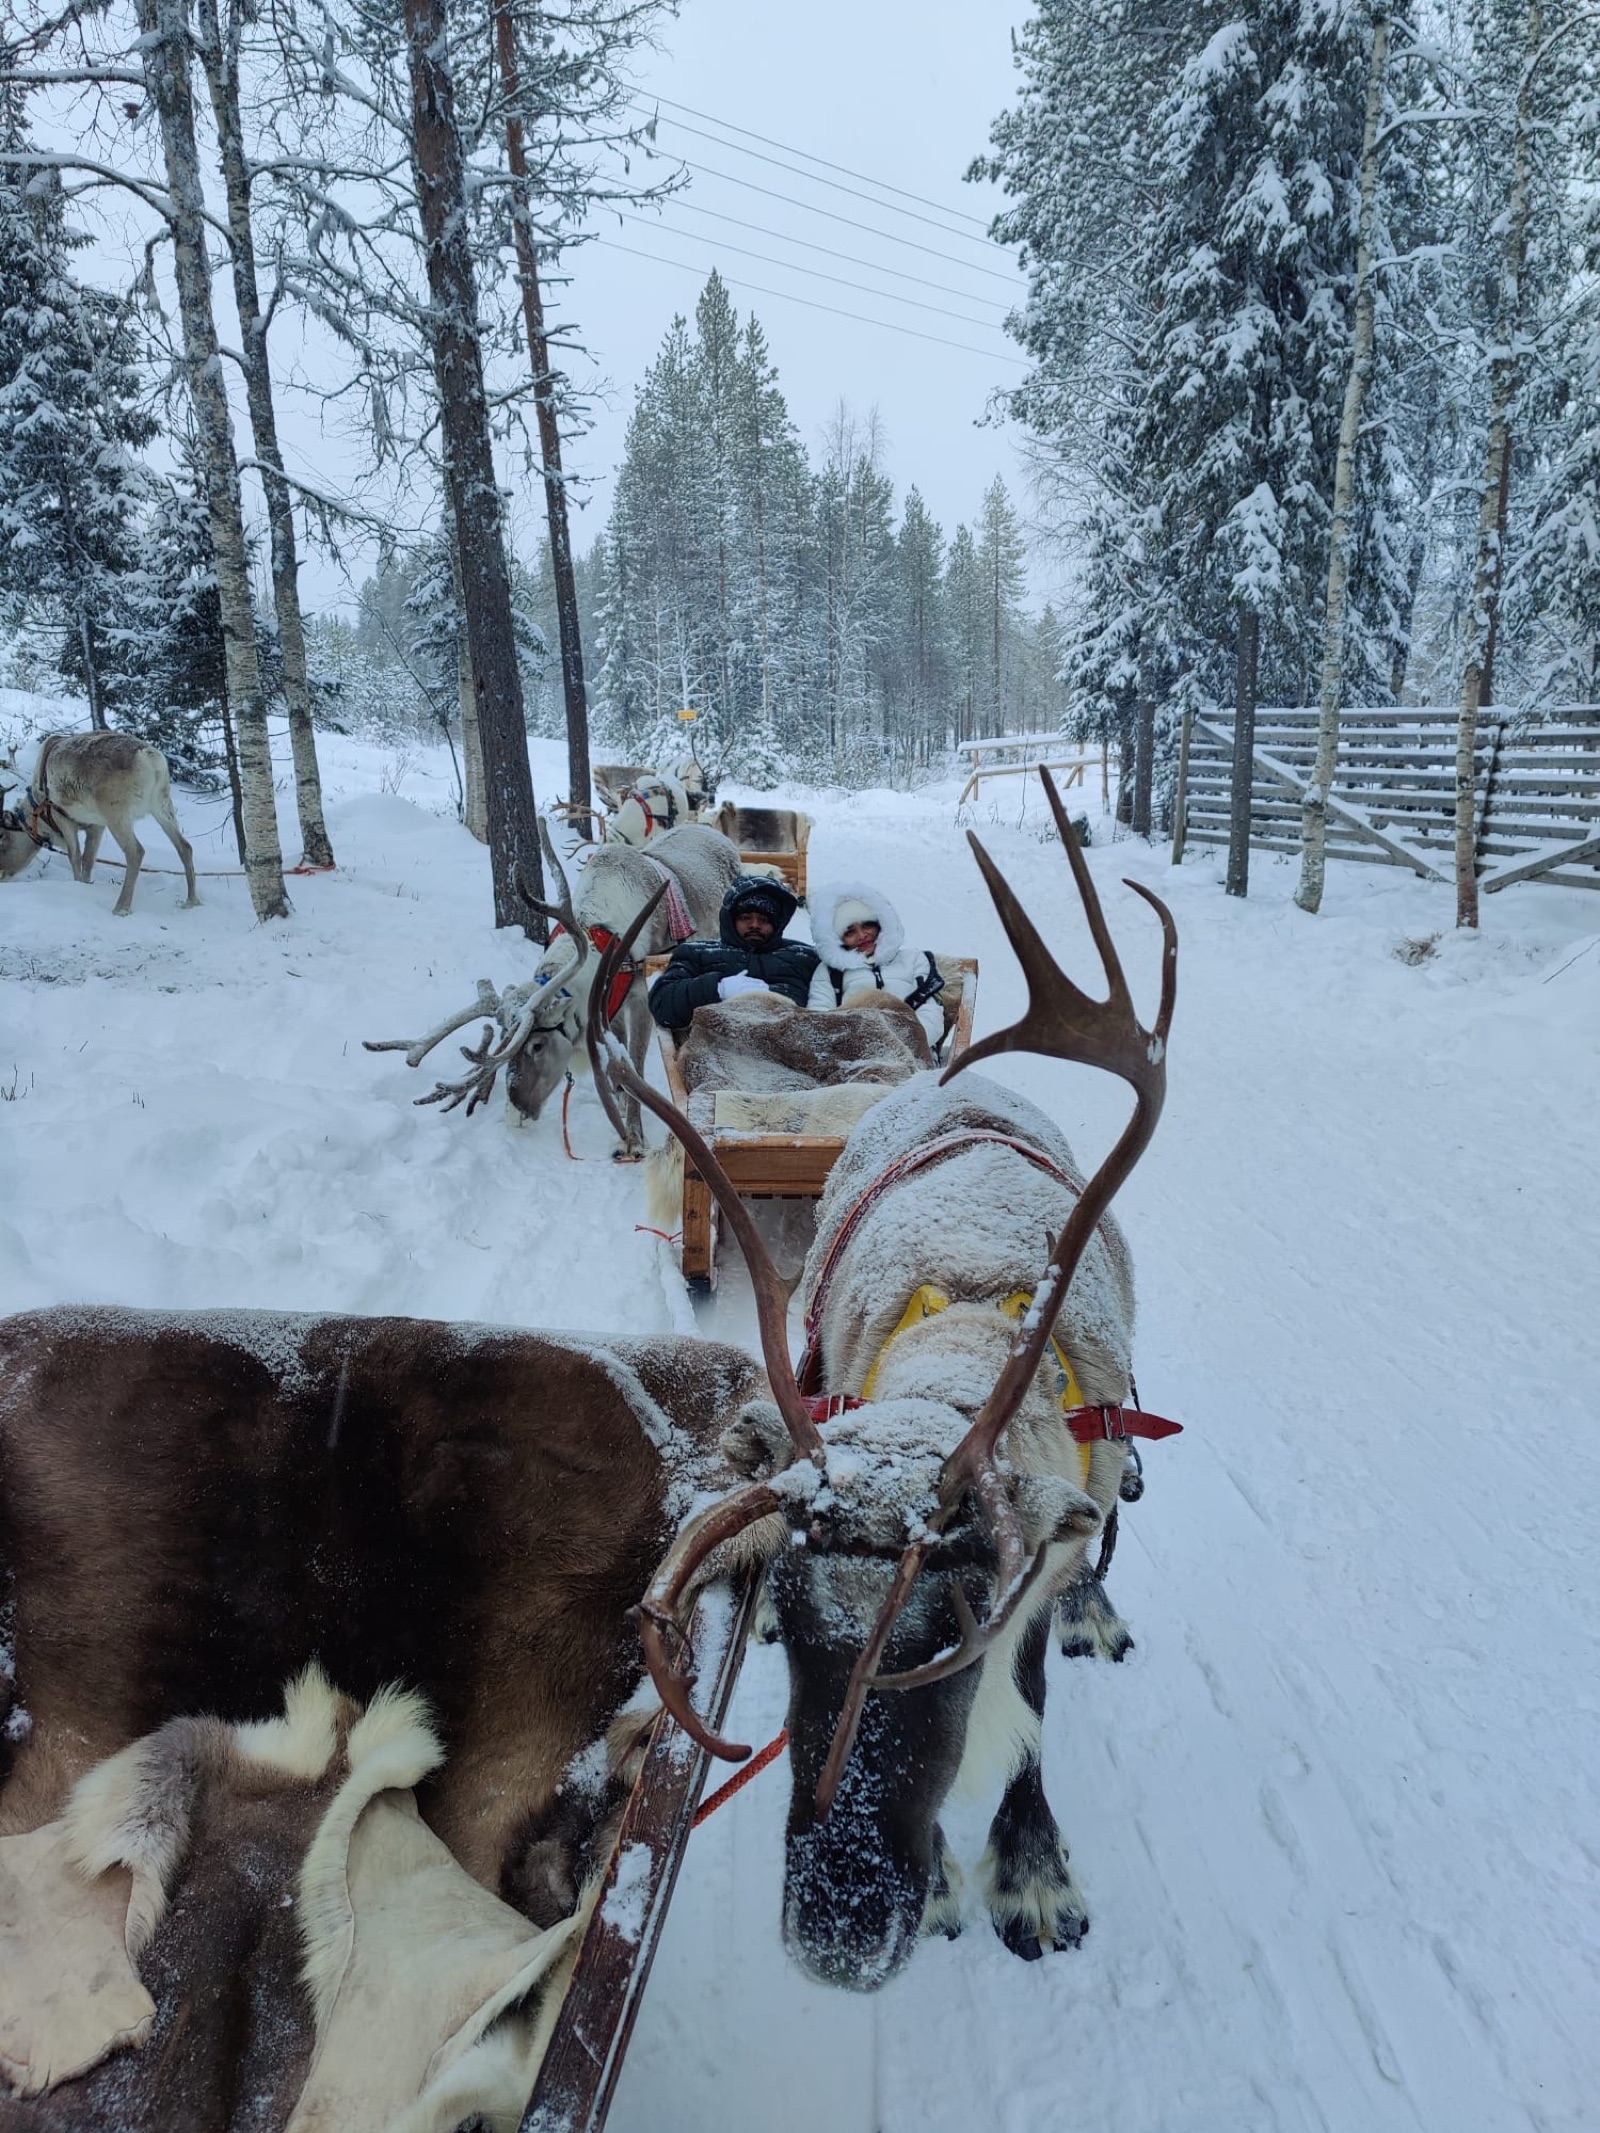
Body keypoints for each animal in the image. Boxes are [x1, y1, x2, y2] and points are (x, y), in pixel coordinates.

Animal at [0, 731, 200, 916]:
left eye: (3, 838)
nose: (1, 877)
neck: (36, 815)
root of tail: (150, 758)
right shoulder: (96, 825)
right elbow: (88, 859)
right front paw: (86, 883)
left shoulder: (62, 817)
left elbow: (75, 856)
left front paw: (77, 883)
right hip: (161, 804)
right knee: (184, 846)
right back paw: (191, 901)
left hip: (116, 814)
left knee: (136, 852)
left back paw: (121, 908)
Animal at [364, 816, 741, 1156]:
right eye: (504, 1040)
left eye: (537, 1045)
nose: (515, 1116)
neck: (601, 936)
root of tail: (715, 832)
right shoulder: (609, 1005)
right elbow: (616, 1063)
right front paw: (619, 1106)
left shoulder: (639, 999)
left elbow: (635, 1064)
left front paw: (634, 1138)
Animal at [583, 767, 1179, 1988]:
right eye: (794, 1598)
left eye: (960, 1622)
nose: (837, 1932)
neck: (969, 1317)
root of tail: (935, 1082)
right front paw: (958, 1876)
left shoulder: (1047, 1525)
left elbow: (1031, 1692)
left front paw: (1030, 1870)